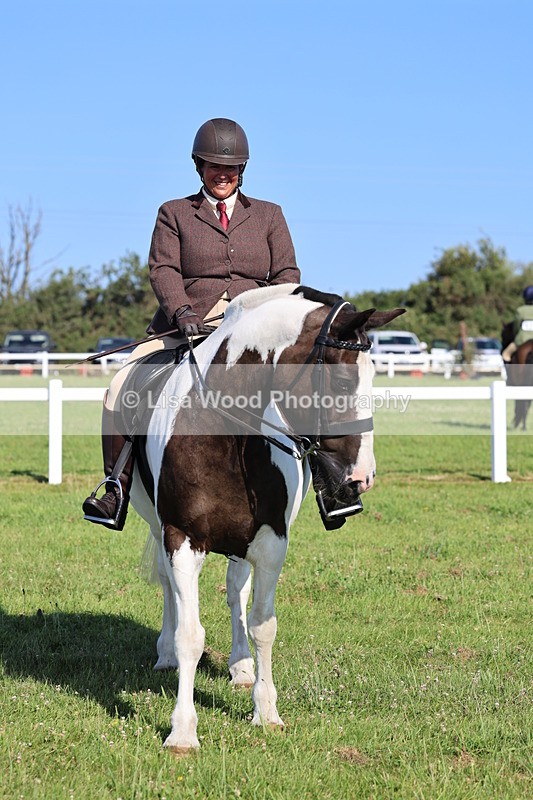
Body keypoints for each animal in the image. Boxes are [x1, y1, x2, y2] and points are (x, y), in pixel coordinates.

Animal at [128, 283, 404, 753]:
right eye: (343, 381)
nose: (362, 478)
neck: (223, 435)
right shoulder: (180, 537)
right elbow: (190, 634)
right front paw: (182, 732)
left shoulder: (271, 542)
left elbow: (263, 626)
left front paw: (266, 711)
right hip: (157, 524)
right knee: (169, 589)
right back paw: (165, 654)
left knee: (237, 591)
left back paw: (240, 667)